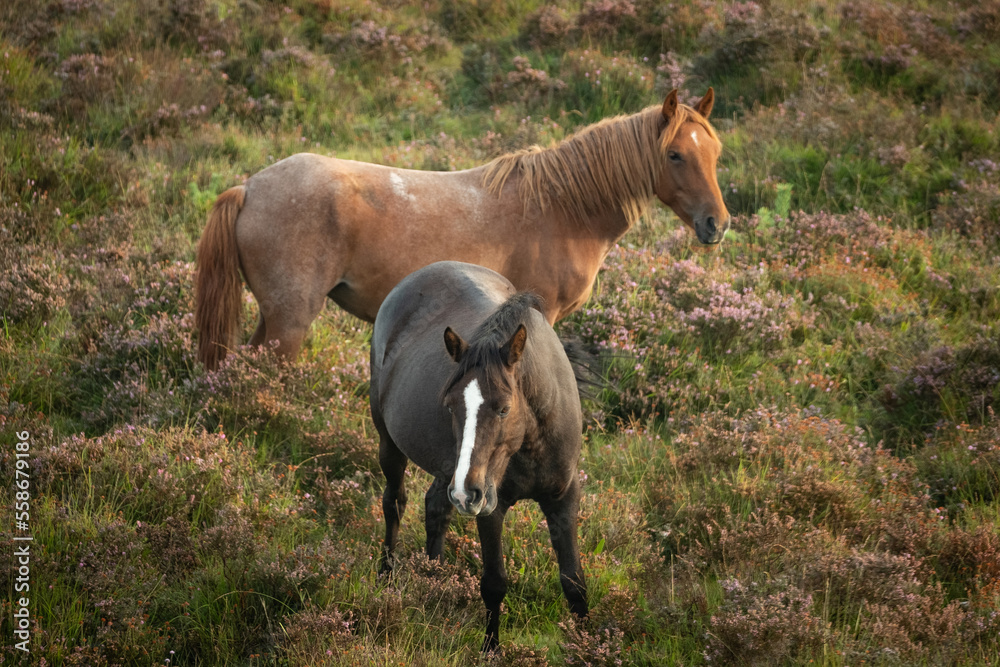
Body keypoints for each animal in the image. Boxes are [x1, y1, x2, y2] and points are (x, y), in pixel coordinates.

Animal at [196, 88, 729, 369]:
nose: (717, 225)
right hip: (291, 319)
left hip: (274, 316)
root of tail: (250, 188)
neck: (562, 208)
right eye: (674, 155)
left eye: (715, 152)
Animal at [369, 261, 587, 652]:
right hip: (395, 448)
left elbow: (574, 582)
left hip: (449, 473)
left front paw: (589, 645)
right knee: (394, 502)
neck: (530, 442)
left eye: (503, 409)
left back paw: (434, 578)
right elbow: (494, 583)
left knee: (435, 507)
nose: (467, 494)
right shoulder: (491, 507)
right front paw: (491, 648)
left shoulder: (563, 497)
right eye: (450, 405)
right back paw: (388, 576)